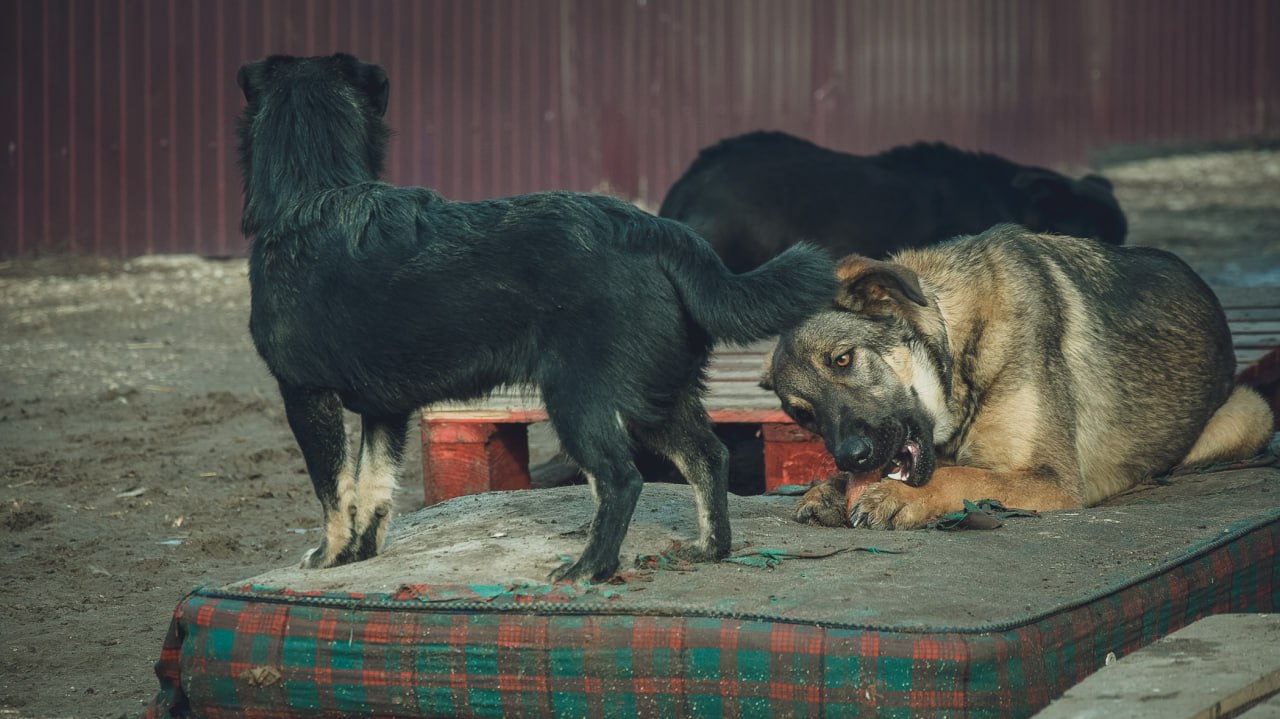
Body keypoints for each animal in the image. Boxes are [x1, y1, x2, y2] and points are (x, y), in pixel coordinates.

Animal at [234, 54, 834, 583]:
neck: (314, 191)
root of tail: (653, 229)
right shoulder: (385, 411)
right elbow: (371, 488)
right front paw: (359, 555)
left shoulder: (305, 394)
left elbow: (333, 488)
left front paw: (330, 556)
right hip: (657, 396)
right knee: (708, 457)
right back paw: (710, 547)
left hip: (578, 397)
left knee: (621, 479)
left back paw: (590, 568)